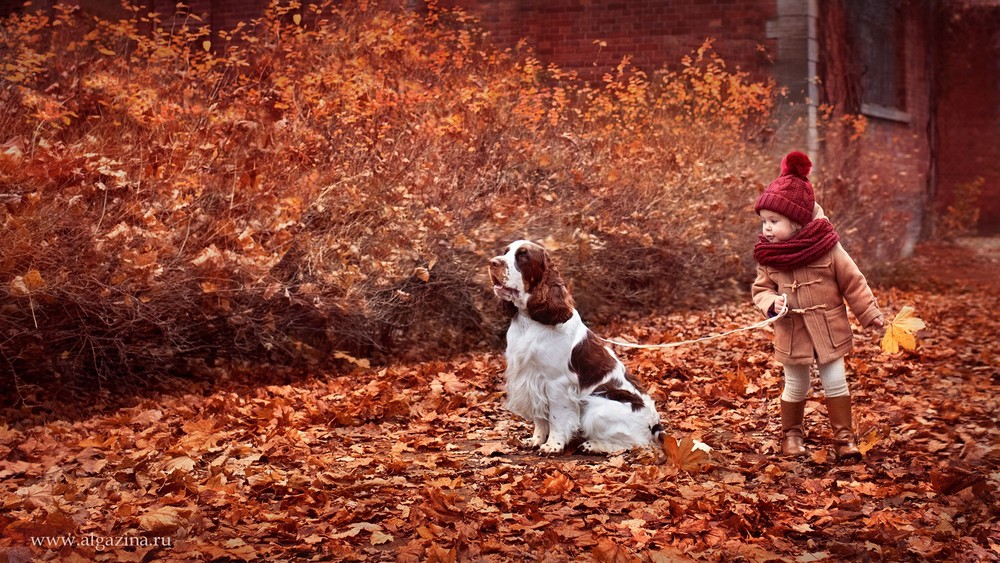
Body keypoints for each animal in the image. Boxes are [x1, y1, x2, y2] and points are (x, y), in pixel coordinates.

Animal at [490, 240, 668, 456]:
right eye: (506, 251)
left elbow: (557, 418)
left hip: (597, 408)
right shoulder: (530, 379)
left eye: (523, 256)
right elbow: (540, 419)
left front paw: (552, 446)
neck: (530, 320)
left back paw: (592, 445)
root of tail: (655, 425)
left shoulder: (556, 383)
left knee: (635, 443)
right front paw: (536, 440)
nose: (492, 263)